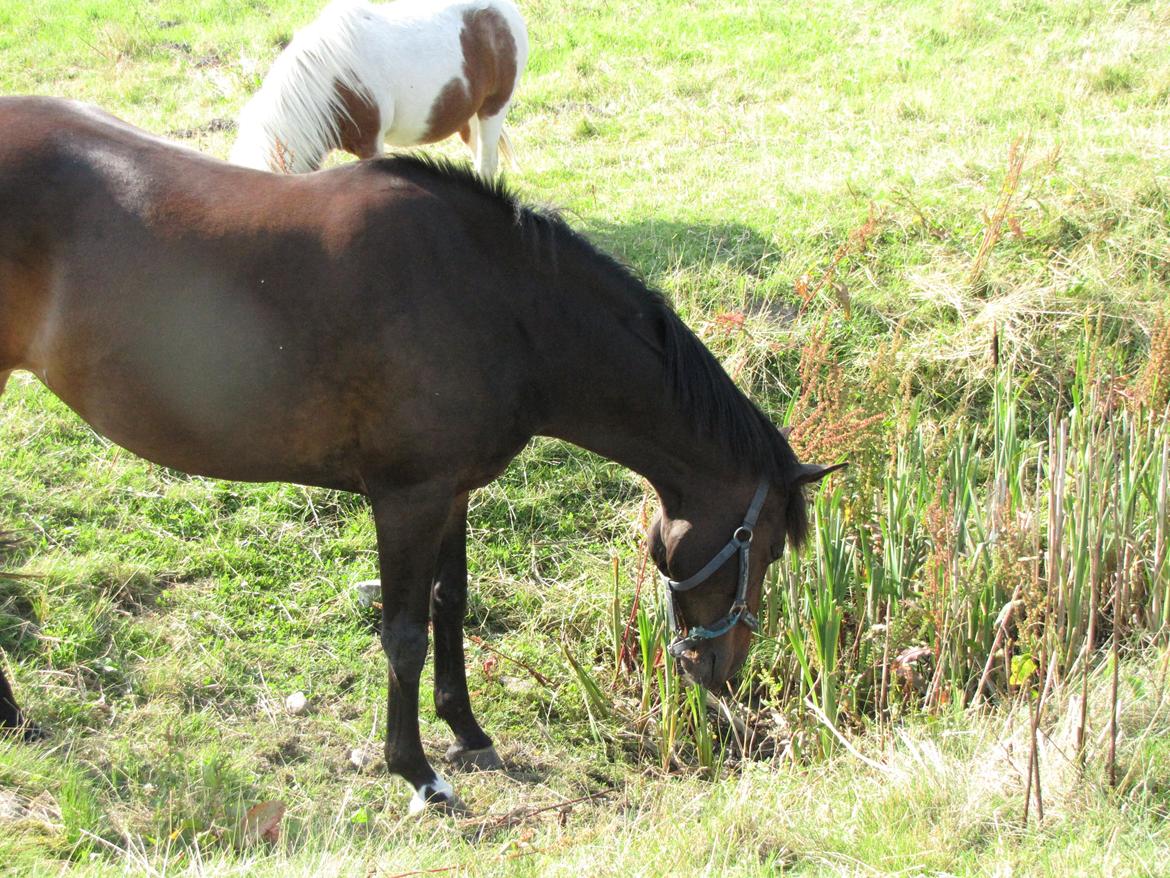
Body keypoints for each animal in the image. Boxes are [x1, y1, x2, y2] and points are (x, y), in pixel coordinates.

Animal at [0, 95, 842, 810]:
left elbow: (449, 604)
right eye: (763, 546)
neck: (496, 303)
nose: (720, 672)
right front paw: (416, 770)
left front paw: (465, 728)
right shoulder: (407, 497)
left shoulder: (453, 490)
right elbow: (402, 634)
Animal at [232, 0, 526, 176]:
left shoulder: (370, 145)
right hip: (469, 116)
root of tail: (503, 11)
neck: (333, 83)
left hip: (493, 109)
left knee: (486, 164)